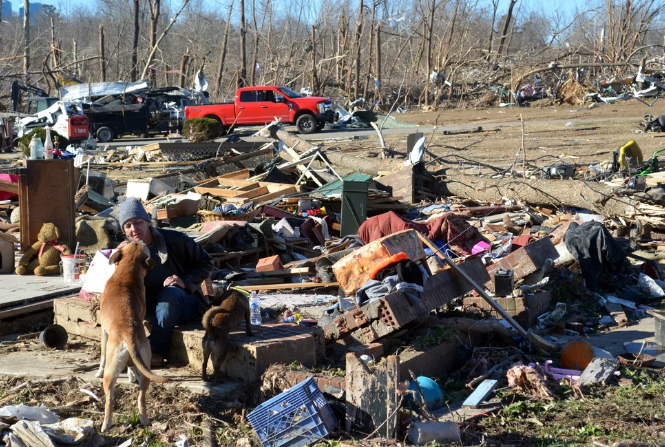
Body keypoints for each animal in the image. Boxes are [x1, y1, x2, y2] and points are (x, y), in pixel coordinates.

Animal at [95, 242, 169, 434]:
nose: (139, 240)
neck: (126, 272)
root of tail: (128, 333)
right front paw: (130, 375)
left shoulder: (104, 332)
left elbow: (102, 356)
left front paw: (98, 371)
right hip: (145, 367)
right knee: (141, 397)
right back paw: (144, 419)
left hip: (110, 374)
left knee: (110, 399)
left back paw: (106, 423)